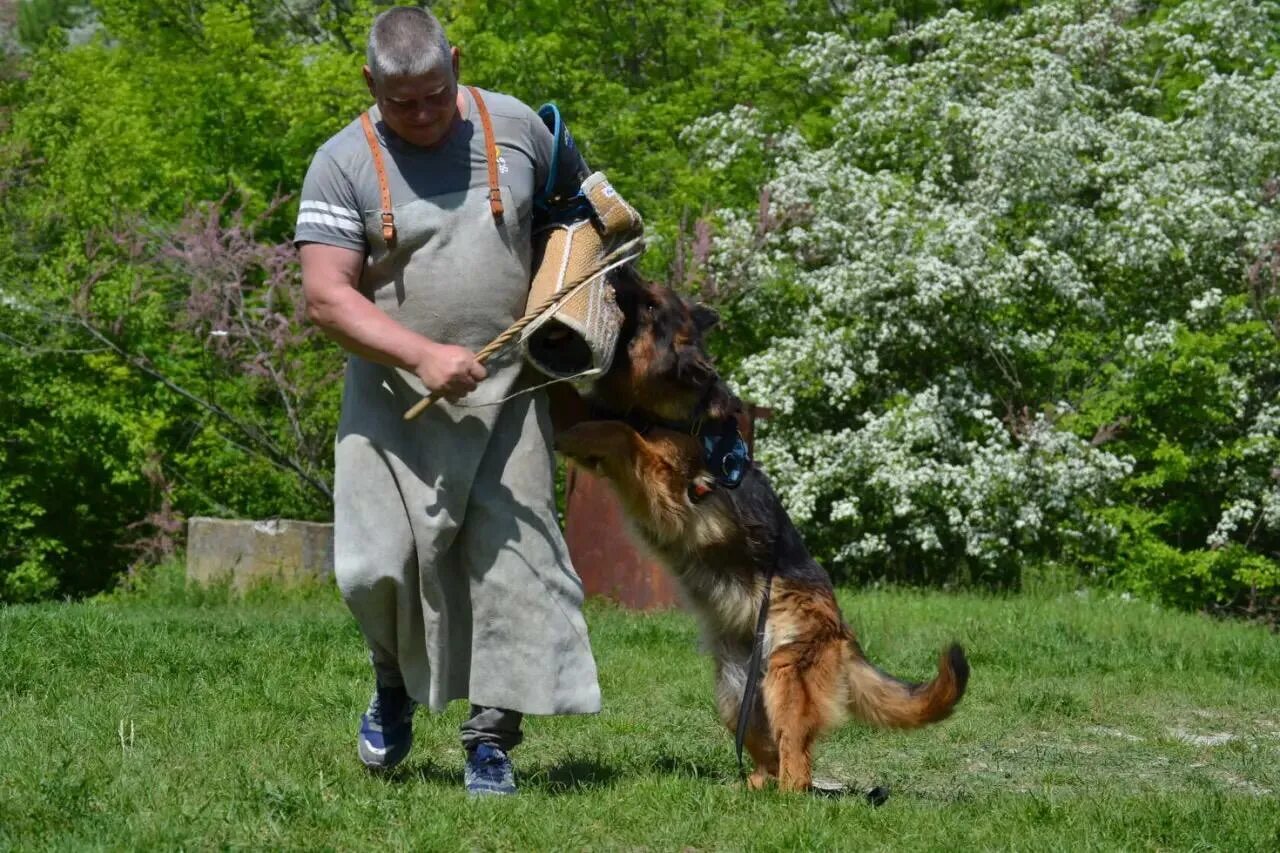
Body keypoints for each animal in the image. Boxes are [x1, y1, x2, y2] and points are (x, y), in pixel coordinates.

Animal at [555, 420, 962, 788]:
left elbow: (624, 434)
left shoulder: (673, 495)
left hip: (786, 676)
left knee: (796, 760)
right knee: (770, 754)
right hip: (736, 695)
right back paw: (752, 787)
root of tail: (842, 629)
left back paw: (785, 797)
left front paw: (579, 431)